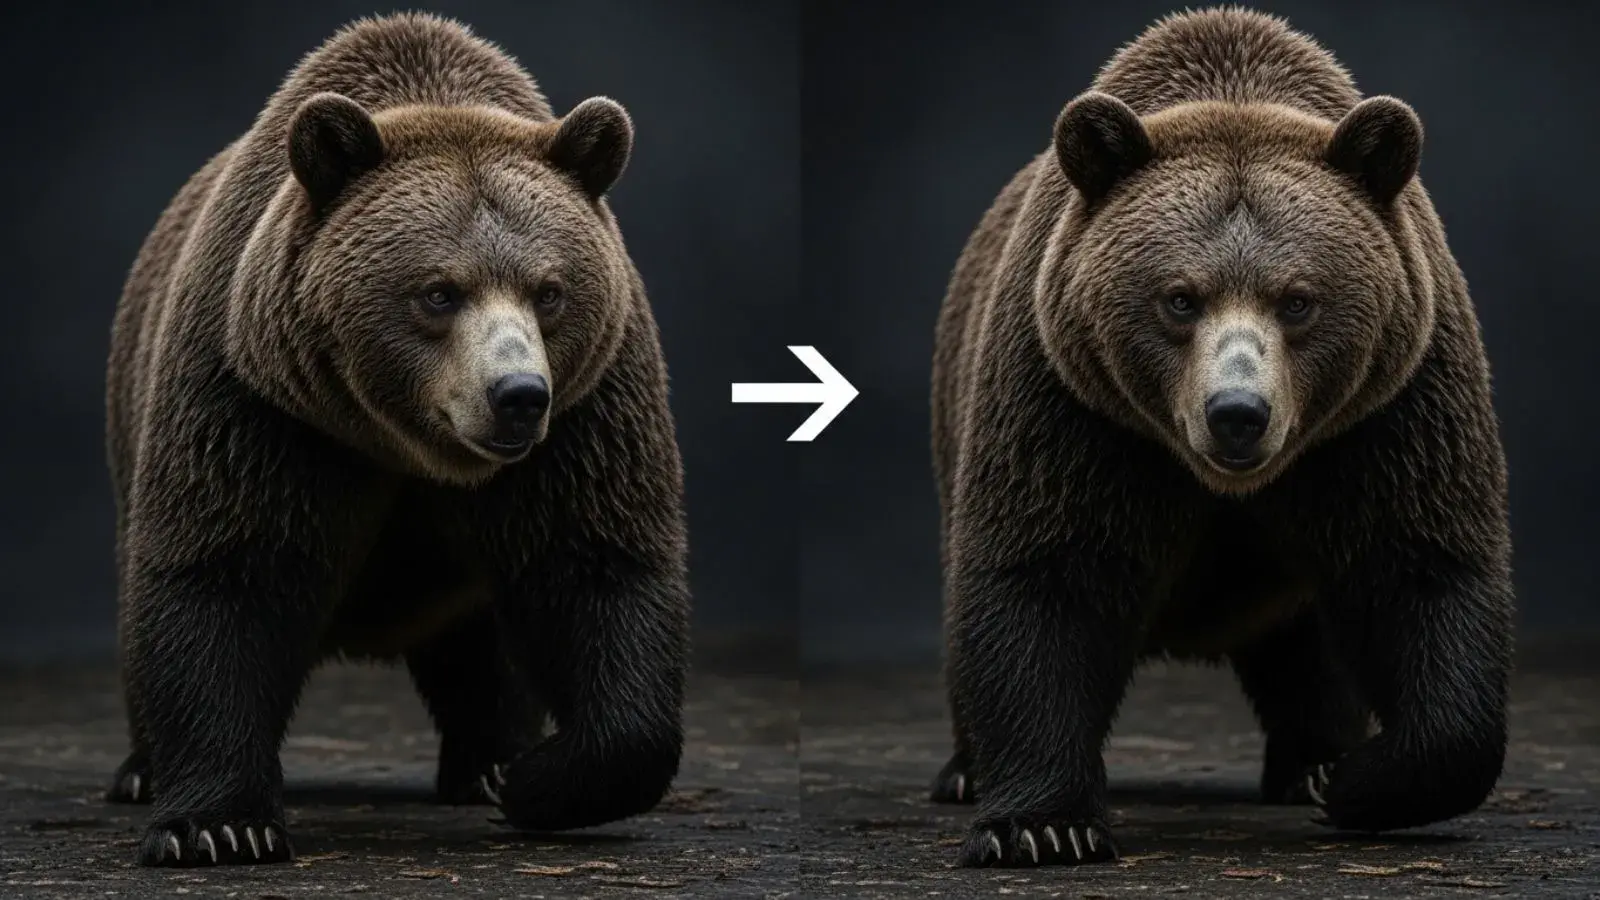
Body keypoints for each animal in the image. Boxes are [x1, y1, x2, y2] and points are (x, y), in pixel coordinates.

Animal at [103, 13, 690, 867]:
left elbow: (599, 569)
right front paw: (218, 825)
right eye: (439, 292)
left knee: (482, 646)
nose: (518, 395)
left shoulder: (586, 416)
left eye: (549, 291)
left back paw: (490, 758)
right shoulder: (259, 403)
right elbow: (221, 573)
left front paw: (538, 778)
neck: (404, 444)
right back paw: (142, 769)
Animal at [927, 7, 1514, 869]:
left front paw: (1361, 781)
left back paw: (1315, 758)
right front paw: (1041, 825)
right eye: (1179, 298)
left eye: (1298, 299)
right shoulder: (1072, 407)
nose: (1237, 412)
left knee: (1306, 642)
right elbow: (1042, 577)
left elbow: (1425, 571)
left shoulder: (1389, 413)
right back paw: (966, 770)